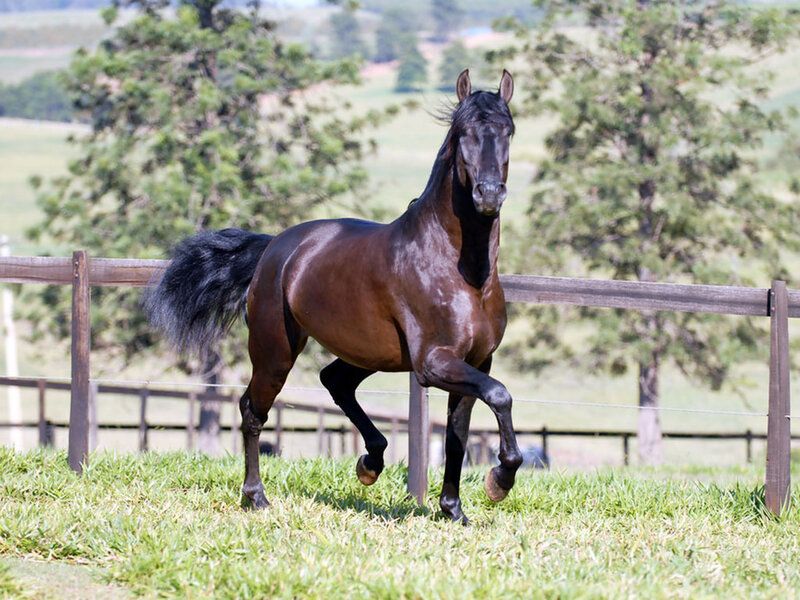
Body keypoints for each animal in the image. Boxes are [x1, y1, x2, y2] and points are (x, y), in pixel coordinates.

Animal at [144, 69, 522, 524]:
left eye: (508, 130)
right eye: (464, 132)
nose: (489, 194)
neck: (462, 271)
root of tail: (275, 248)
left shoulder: (477, 361)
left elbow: (458, 434)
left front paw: (454, 511)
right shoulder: (434, 363)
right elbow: (500, 395)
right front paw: (499, 480)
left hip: (366, 352)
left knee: (334, 380)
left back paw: (370, 463)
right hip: (275, 351)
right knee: (253, 410)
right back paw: (256, 497)